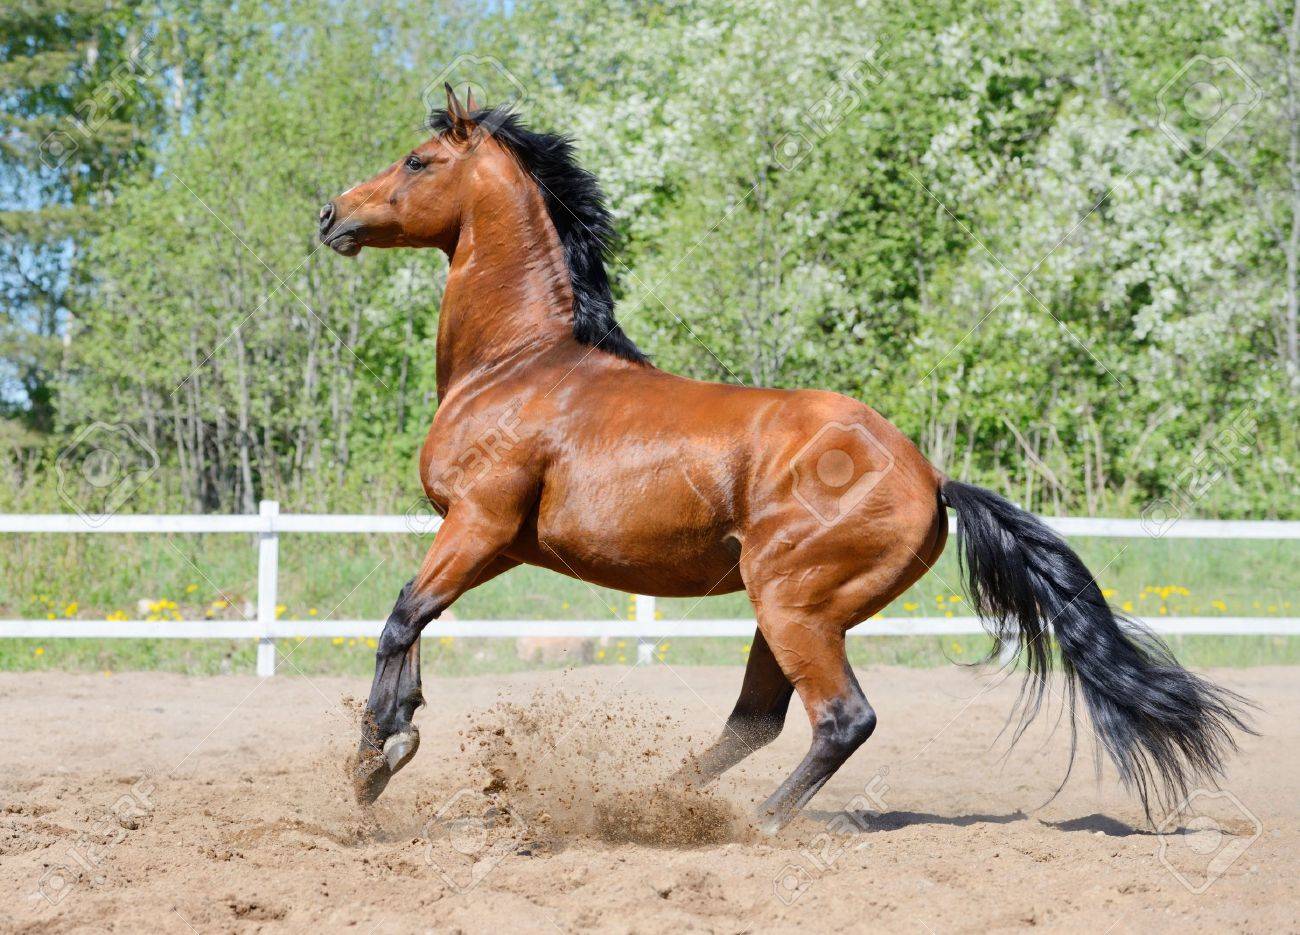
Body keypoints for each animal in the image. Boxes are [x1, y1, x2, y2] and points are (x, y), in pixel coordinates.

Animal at [319, 85, 1250, 833]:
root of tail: (932, 477)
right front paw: (391, 741)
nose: (332, 215)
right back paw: (654, 806)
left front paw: (376, 762)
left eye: (418, 160)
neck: (518, 363)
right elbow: (413, 621)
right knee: (756, 721)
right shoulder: (494, 542)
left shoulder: (479, 524)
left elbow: (400, 616)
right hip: (790, 609)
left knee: (841, 718)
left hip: (794, 603)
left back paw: (754, 824)